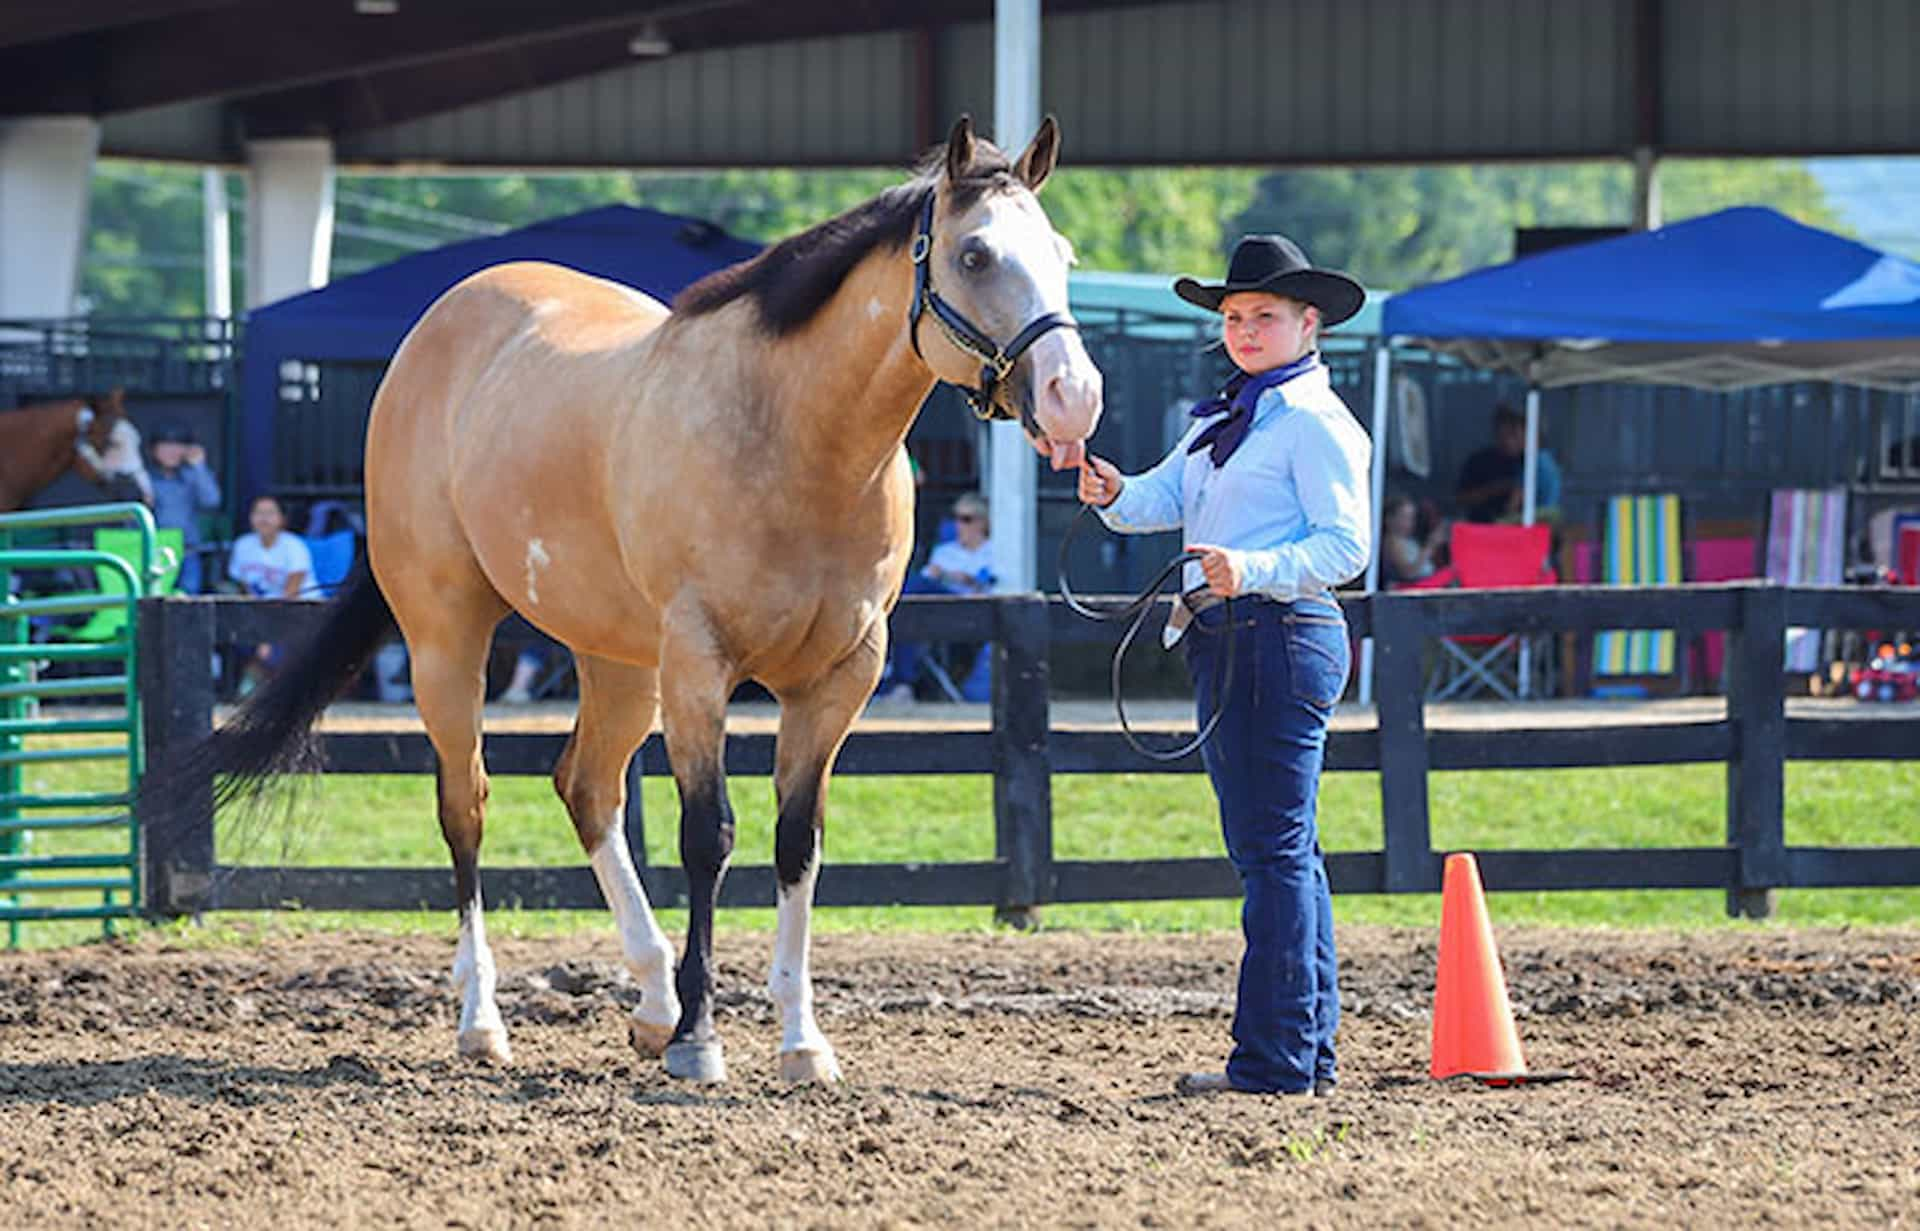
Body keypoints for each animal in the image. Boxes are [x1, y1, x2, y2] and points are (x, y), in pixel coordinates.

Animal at [180, 122, 1113, 1083]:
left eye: (1063, 256)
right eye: (975, 254)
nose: (1073, 397)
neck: (793, 437)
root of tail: (437, 331)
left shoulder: (840, 676)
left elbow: (797, 840)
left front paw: (799, 1039)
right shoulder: (700, 664)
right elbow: (709, 834)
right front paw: (702, 1040)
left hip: (618, 661)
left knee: (586, 787)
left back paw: (653, 1001)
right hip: (450, 636)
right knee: (465, 805)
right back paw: (487, 1019)